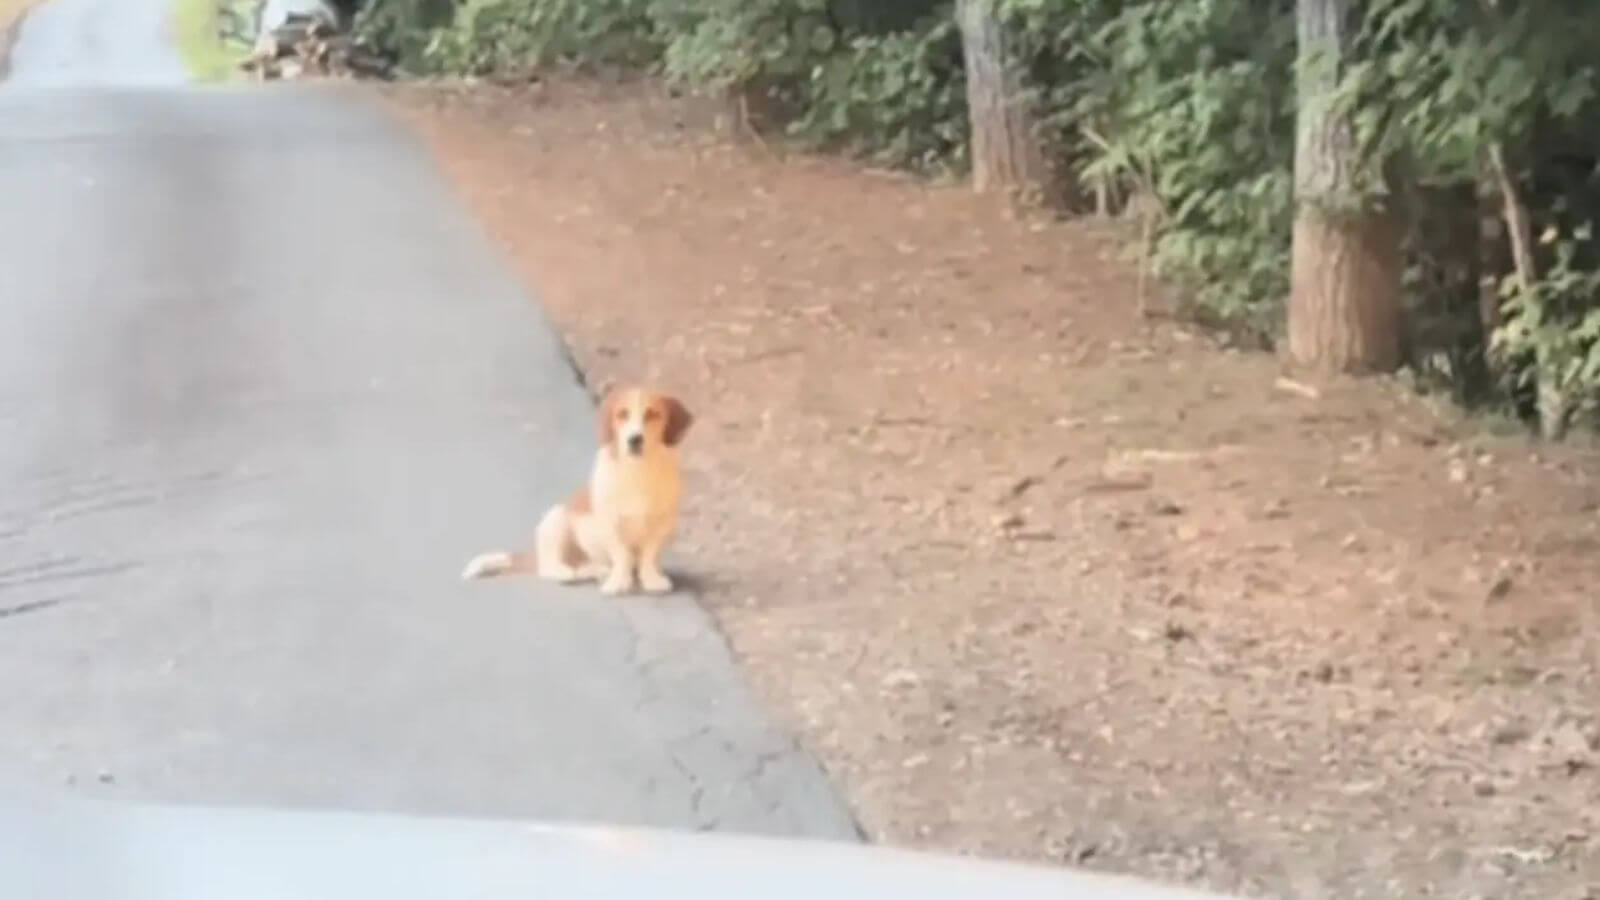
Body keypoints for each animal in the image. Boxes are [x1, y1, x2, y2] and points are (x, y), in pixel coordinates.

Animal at [457, 381, 694, 592]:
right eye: (622, 415)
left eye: (652, 414)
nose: (634, 439)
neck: (638, 471)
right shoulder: (610, 524)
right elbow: (622, 554)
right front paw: (618, 582)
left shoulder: (662, 524)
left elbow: (648, 556)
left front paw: (652, 579)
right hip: (556, 519)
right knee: (550, 567)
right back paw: (569, 572)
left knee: (586, 566)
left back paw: (598, 570)